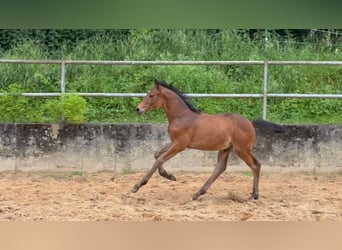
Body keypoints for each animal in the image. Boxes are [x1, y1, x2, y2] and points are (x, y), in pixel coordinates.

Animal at [132, 79, 284, 200]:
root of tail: (250, 123)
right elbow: (157, 153)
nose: (138, 109)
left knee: (254, 166)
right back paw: (198, 193)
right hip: (226, 149)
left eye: (151, 95)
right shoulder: (175, 142)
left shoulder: (180, 145)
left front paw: (137, 186)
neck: (181, 116)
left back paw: (254, 195)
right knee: (221, 168)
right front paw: (170, 176)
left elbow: (159, 159)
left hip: (242, 149)